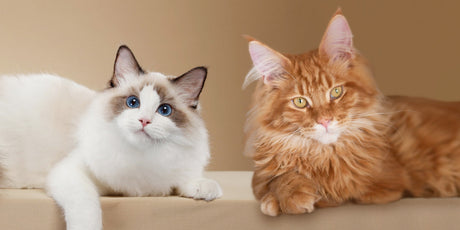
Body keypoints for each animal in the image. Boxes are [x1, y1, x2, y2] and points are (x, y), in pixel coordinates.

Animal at [0, 45, 223, 230]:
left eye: (164, 110)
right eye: (133, 102)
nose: (144, 121)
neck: (140, 157)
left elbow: (185, 180)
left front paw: (206, 188)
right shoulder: (70, 173)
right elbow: (87, 208)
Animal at [243, 9, 460, 217]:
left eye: (336, 92)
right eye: (300, 102)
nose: (325, 121)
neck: (324, 155)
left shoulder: (382, 187)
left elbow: (332, 193)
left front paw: (289, 199)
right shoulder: (260, 176)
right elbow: (276, 179)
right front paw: (282, 196)